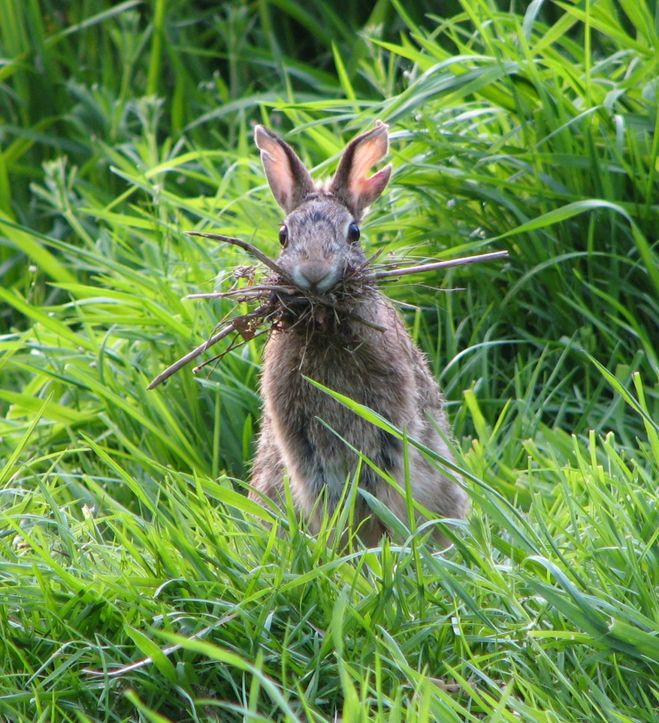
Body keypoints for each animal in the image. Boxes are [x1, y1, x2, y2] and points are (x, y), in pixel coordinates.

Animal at [249, 121, 470, 544]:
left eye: (354, 233)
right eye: (284, 235)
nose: (314, 272)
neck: (324, 331)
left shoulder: (387, 437)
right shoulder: (302, 448)